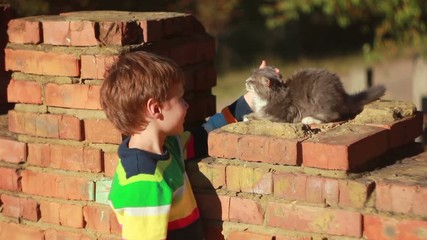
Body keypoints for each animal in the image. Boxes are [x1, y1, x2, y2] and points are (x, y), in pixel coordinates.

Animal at [244, 66, 388, 124]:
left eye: (252, 81)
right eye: (249, 78)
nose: (245, 81)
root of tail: (343, 95)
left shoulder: (279, 116)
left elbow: (261, 116)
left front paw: (248, 117)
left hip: (319, 96)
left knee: (333, 115)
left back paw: (309, 119)